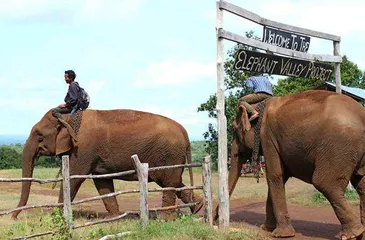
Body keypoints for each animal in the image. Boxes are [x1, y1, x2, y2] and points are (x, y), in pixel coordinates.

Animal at [11, 109, 203, 219]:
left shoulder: (83, 148)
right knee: (173, 181)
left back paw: (166, 218)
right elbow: (101, 181)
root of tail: (185, 132)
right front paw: (113, 218)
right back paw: (198, 206)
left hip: (169, 154)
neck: (69, 117)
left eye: (39, 134)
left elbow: (74, 178)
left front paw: (56, 217)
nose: (13, 218)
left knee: (169, 182)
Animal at [215, 90, 364, 240]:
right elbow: (281, 176)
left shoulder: (267, 137)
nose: (214, 222)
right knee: (361, 185)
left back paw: (352, 234)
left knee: (325, 183)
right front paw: (266, 228)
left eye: (233, 128)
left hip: (338, 148)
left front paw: (280, 234)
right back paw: (360, 233)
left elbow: (275, 175)